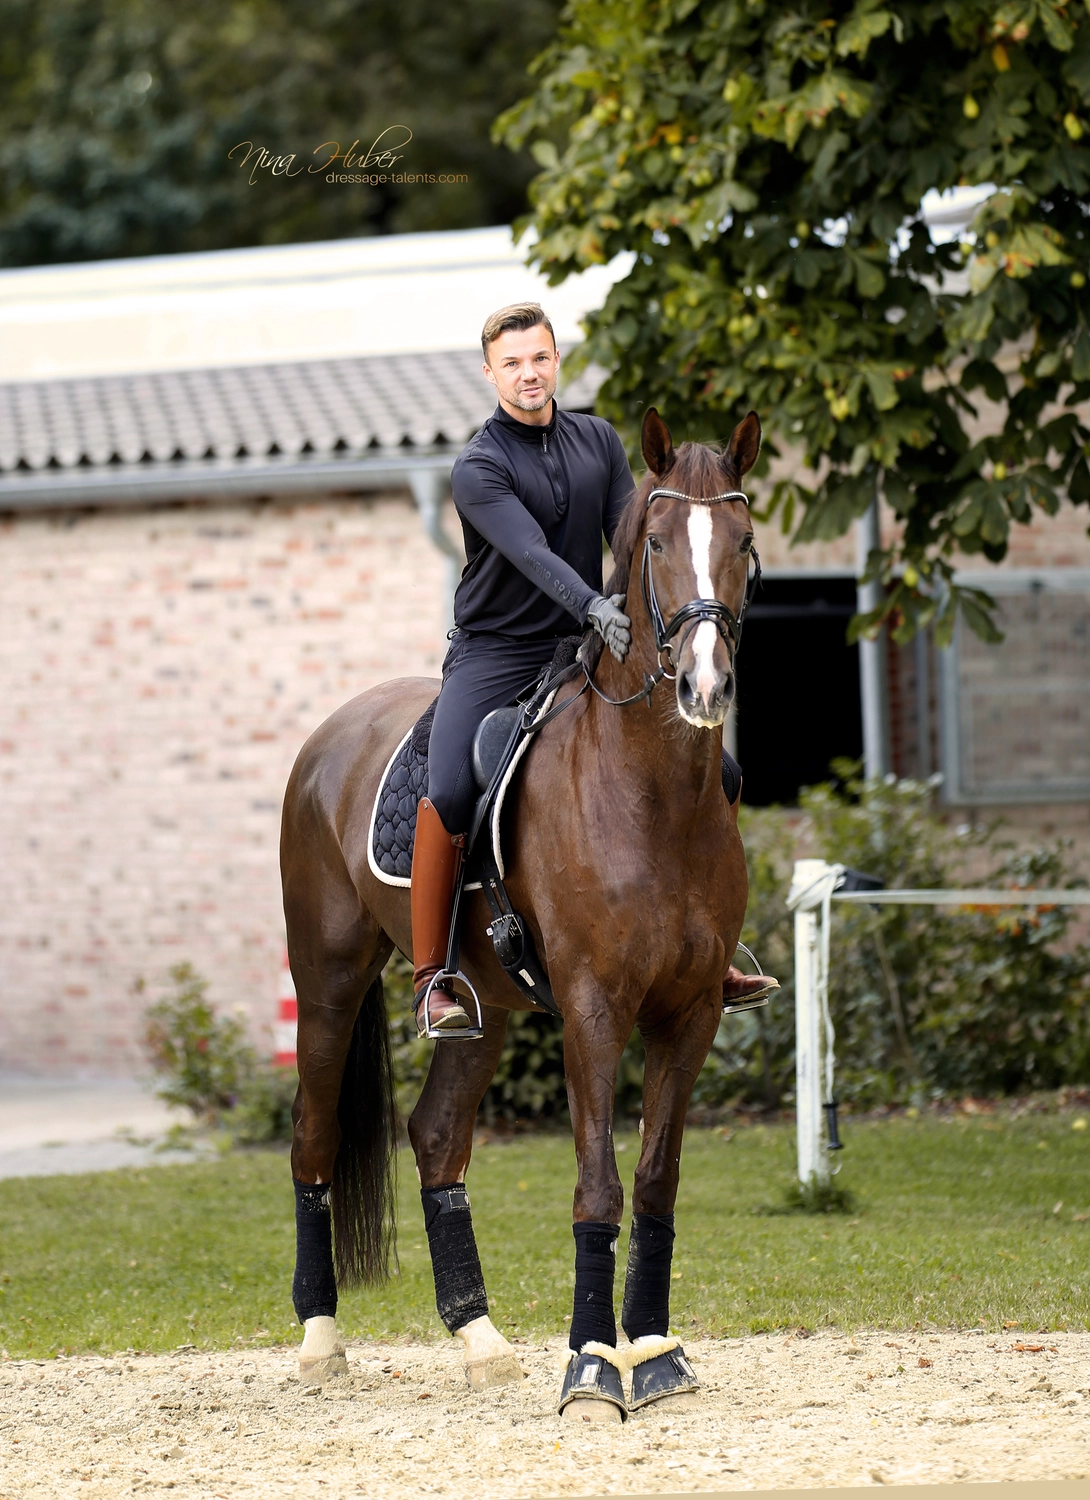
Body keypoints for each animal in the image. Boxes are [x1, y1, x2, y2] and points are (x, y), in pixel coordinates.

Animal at [279, 405, 761, 1418]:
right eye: (658, 544)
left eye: (743, 544)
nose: (705, 688)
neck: (650, 795)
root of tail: (331, 735)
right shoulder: (593, 1010)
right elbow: (598, 1186)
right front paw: (591, 1365)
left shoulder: (692, 1011)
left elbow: (655, 1180)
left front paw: (653, 1350)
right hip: (329, 979)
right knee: (314, 1134)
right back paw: (319, 1339)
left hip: (485, 1006)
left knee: (436, 1139)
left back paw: (480, 1340)